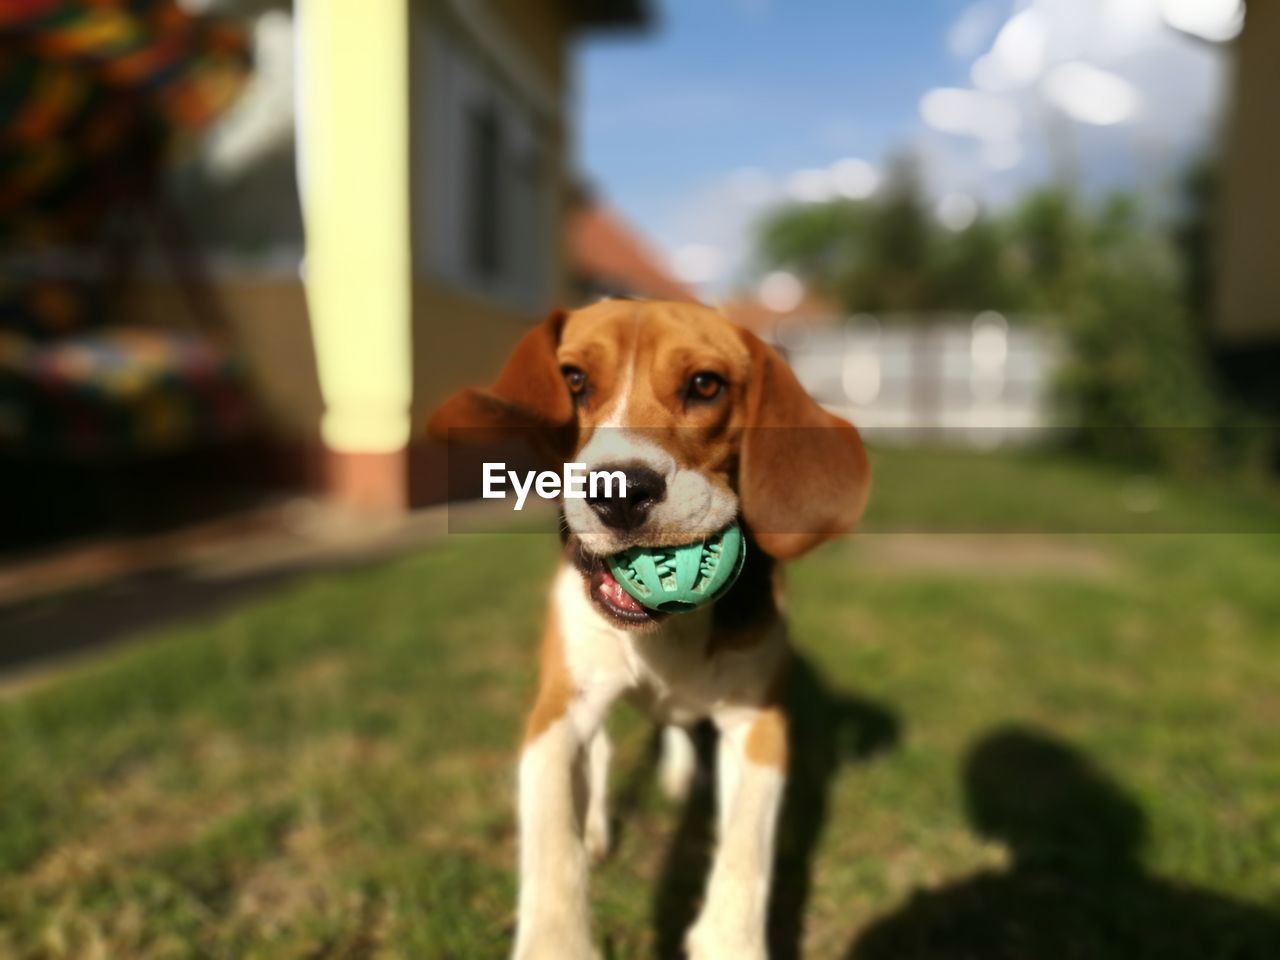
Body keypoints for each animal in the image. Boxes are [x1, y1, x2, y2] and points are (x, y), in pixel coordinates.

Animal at [430, 296, 870, 957]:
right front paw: (557, 939)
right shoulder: (557, 713)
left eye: (706, 385)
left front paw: (730, 940)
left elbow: (746, 844)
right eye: (573, 379)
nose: (620, 492)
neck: (664, 638)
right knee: (603, 755)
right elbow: (551, 829)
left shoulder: (757, 723)